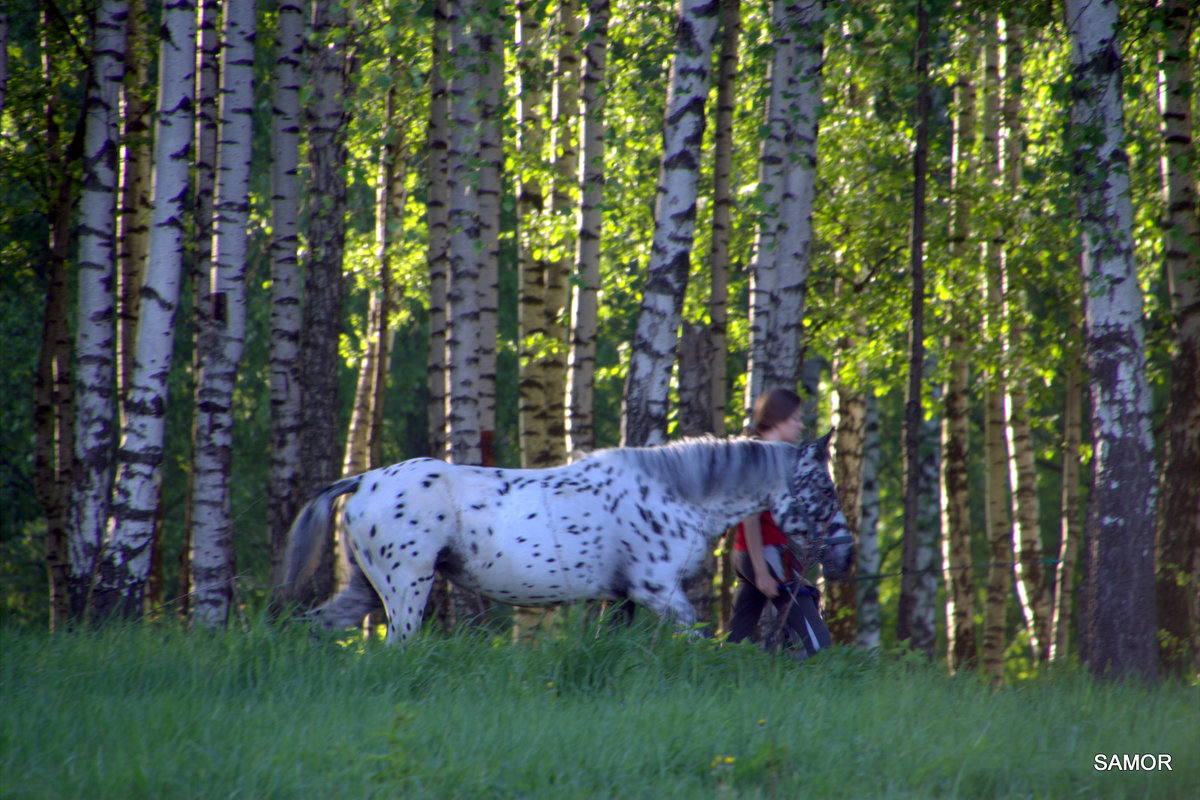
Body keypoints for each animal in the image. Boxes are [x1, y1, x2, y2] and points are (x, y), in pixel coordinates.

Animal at [285, 434, 859, 647]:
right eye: (826, 486)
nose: (845, 553)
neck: (673, 495)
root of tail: (363, 481)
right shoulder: (658, 592)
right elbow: (696, 638)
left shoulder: (622, 597)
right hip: (406, 589)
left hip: (365, 588)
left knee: (314, 627)